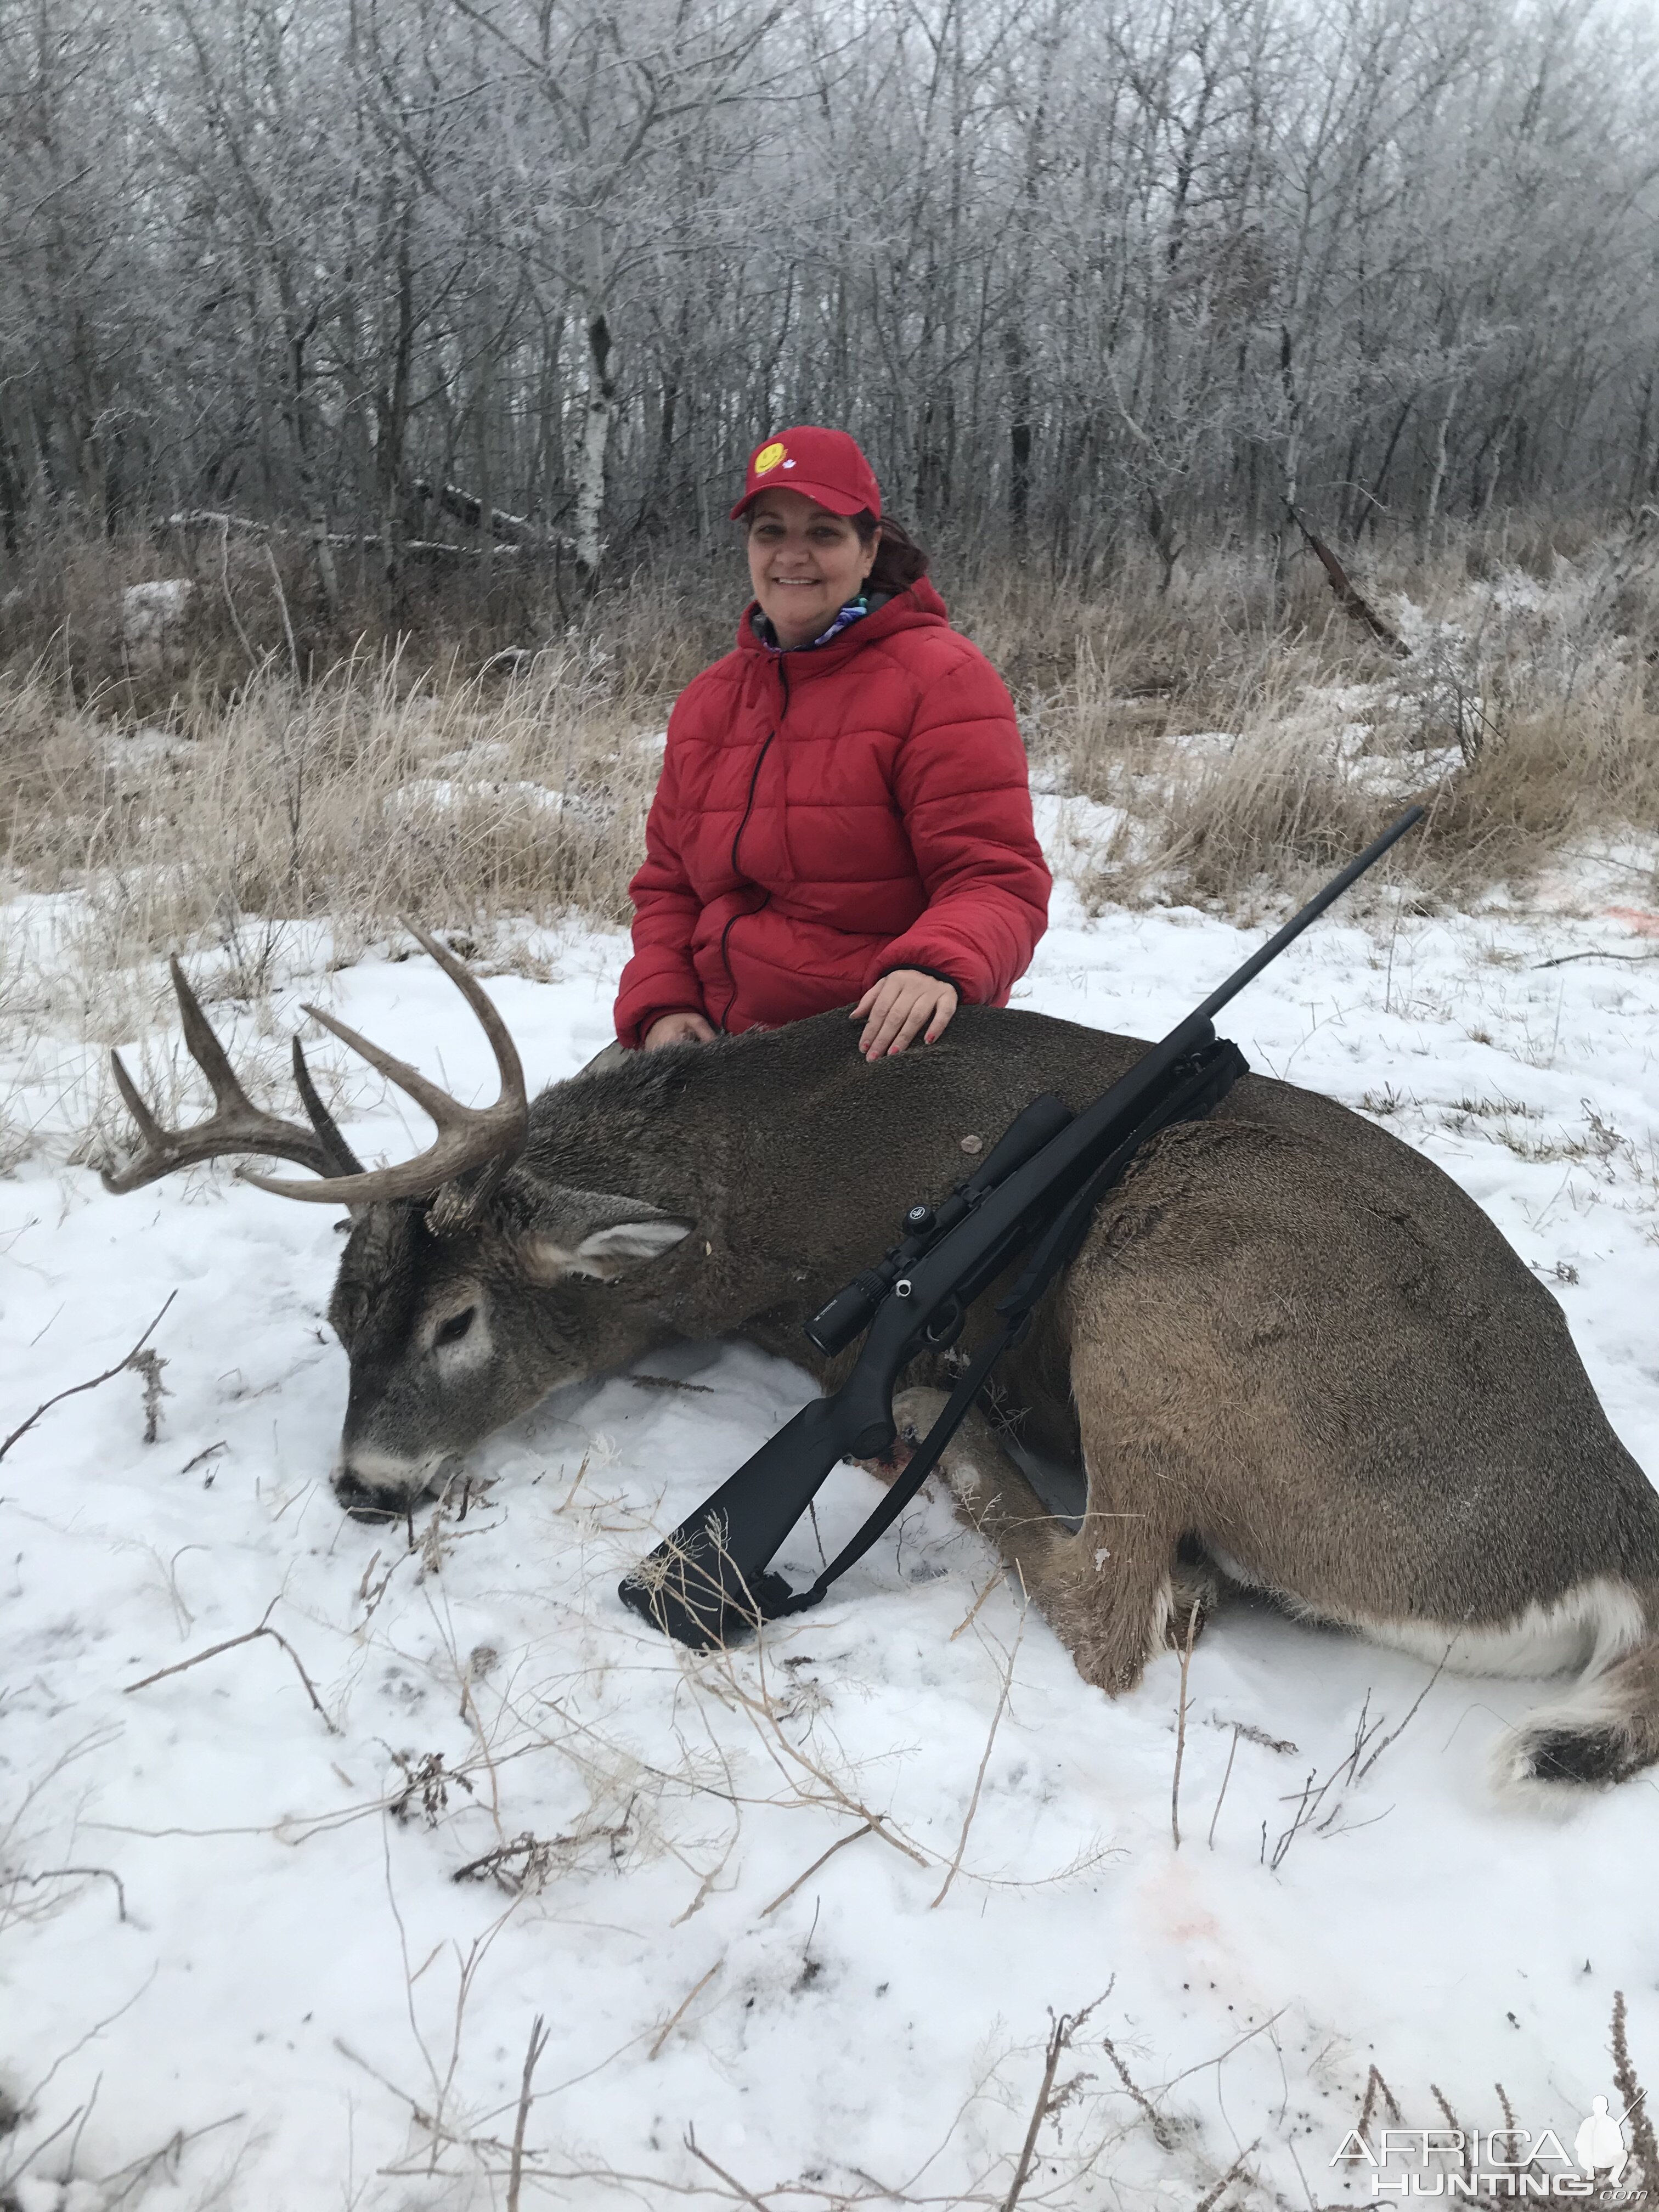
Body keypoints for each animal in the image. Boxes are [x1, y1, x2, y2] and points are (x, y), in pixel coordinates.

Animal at [104, 933, 1659, 1796]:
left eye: (455, 1323)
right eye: (335, 1320)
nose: (364, 1486)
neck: (732, 1192)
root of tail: (1612, 1531)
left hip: (1169, 1291)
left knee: (1123, 1606)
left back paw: (935, 1424)